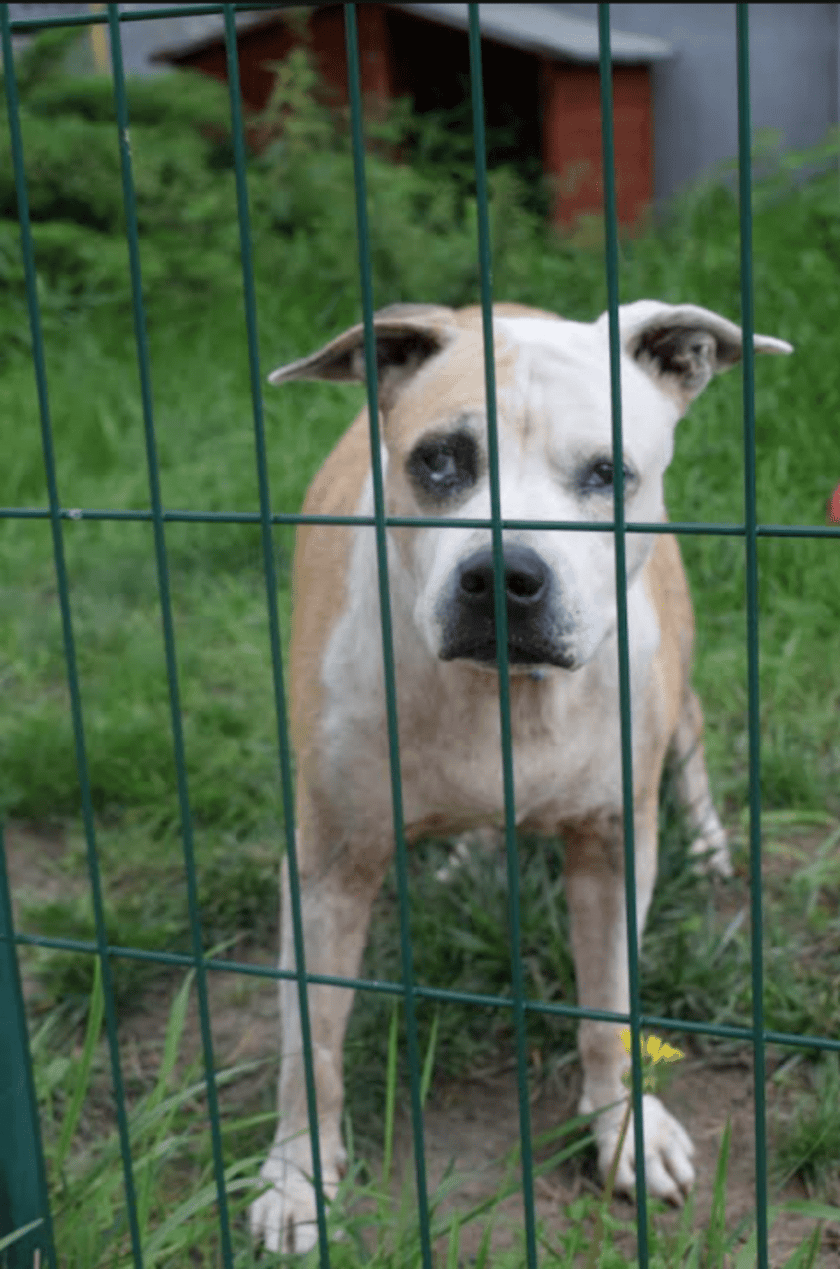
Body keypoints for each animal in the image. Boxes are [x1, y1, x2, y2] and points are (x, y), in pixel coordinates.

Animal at [251, 302, 796, 1253]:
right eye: (439, 460)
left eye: (608, 473)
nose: (506, 574)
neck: (503, 696)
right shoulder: (327, 862)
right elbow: (309, 1041)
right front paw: (297, 1174)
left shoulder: (615, 846)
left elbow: (612, 1010)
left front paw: (625, 1132)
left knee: (690, 731)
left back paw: (711, 842)